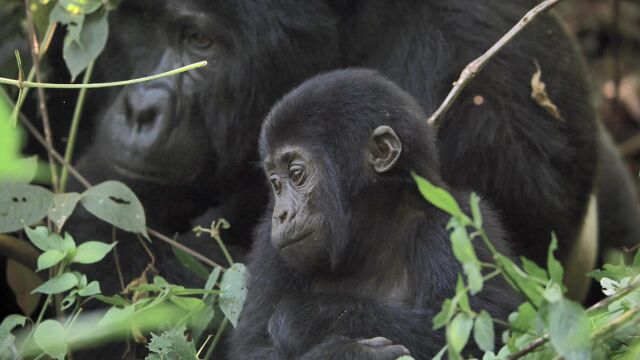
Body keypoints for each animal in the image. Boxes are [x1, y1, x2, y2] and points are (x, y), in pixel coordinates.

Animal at [231, 69, 520, 358]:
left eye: (296, 173)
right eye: (276, 184)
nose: (280, 214)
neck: (369, 236)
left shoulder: (458, 220)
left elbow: (476, 331)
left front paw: (305, 318)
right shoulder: (268, 248)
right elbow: (249, 347)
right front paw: (355, 351)